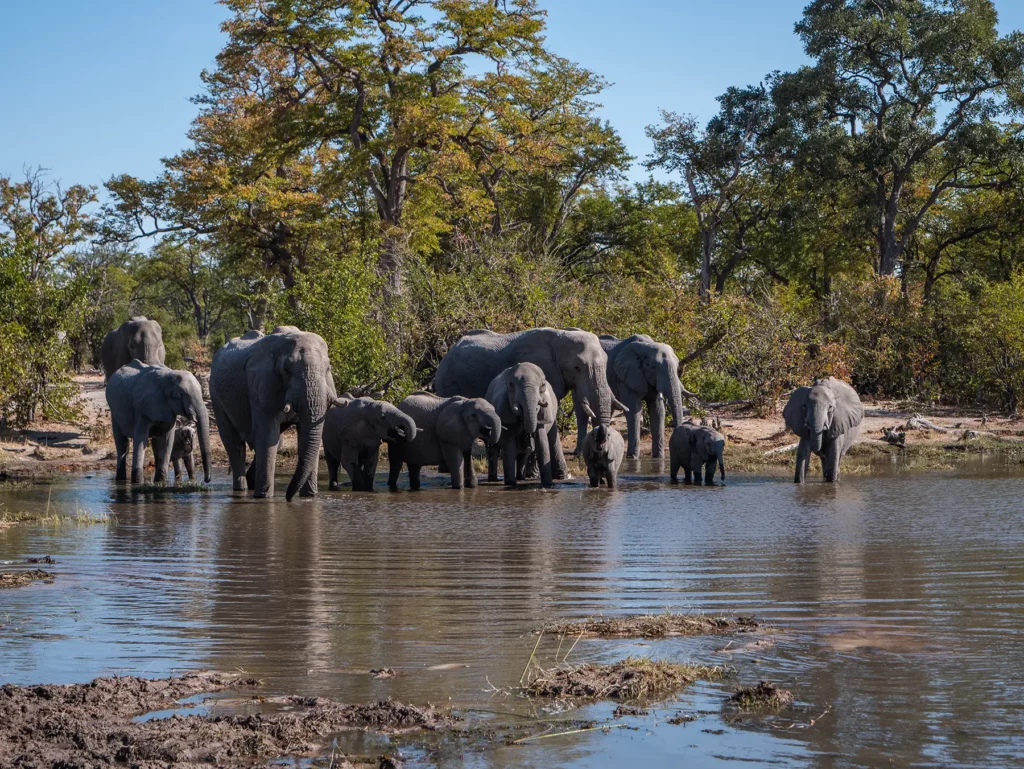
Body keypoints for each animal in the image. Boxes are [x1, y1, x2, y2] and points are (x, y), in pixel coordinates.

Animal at [209, 326, 348, 500]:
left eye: (328, 368)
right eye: (286, 370)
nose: (288, 498)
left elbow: (303, 436)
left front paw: (309, 497)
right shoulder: (260, 386)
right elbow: (267, 437)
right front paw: (264, 498)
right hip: (215, 394)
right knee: (234, 443)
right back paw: (241, 490)